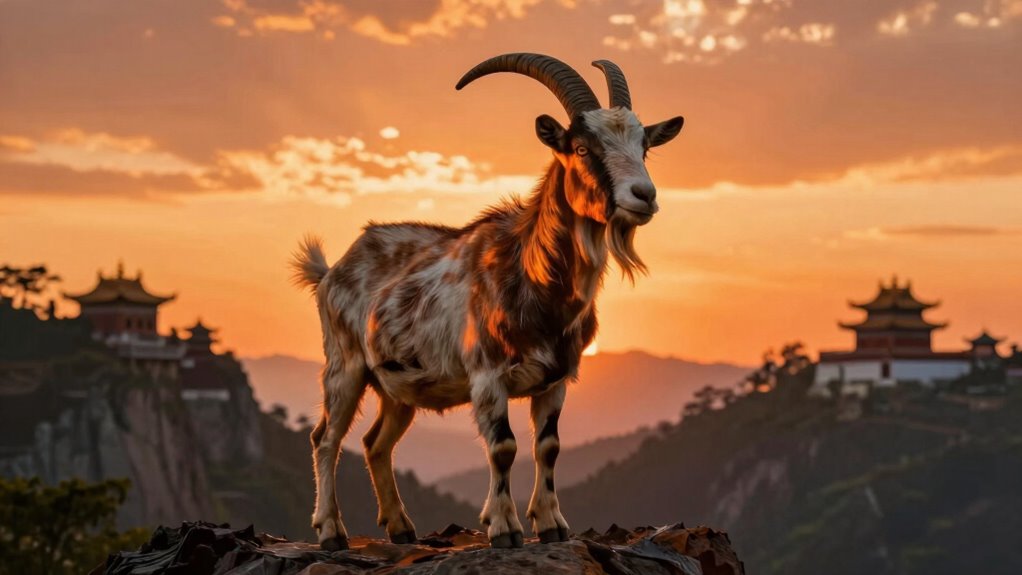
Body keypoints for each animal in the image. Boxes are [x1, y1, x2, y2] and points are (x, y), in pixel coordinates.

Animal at [292, 53, 684, 550]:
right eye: (581, 148)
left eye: (644, 147)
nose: (644, 196)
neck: (530, 273)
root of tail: (331, 271)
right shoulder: (487, 376)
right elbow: (503, 446)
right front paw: (504, 528)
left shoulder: (556, 379)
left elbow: (548, 446)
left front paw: (551, 524)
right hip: (344, 364)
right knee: (325, 438)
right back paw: (330, 531)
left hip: (398, 385)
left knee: (375, 443)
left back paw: (401, 528)